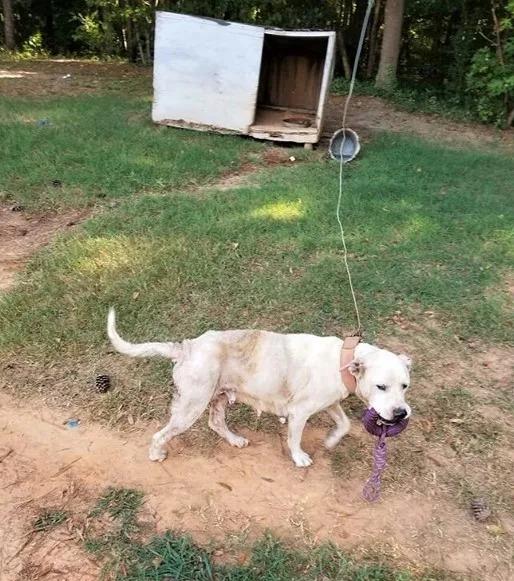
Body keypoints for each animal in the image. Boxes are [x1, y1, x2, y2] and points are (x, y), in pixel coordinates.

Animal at [106, 308, 410, 466]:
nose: (401, 413)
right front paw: (299, 457)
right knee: (161, 434)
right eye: (381, 386)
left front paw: (331, 441)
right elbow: (294, 438)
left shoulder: (330, 403)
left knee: (216, 423)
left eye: (405, 386)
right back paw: (156, 454)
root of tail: (186, 348)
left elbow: (345, 424)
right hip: (191, 406)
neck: (343, 360)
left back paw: (235, 440)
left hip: (217, 397)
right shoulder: (300, 412)